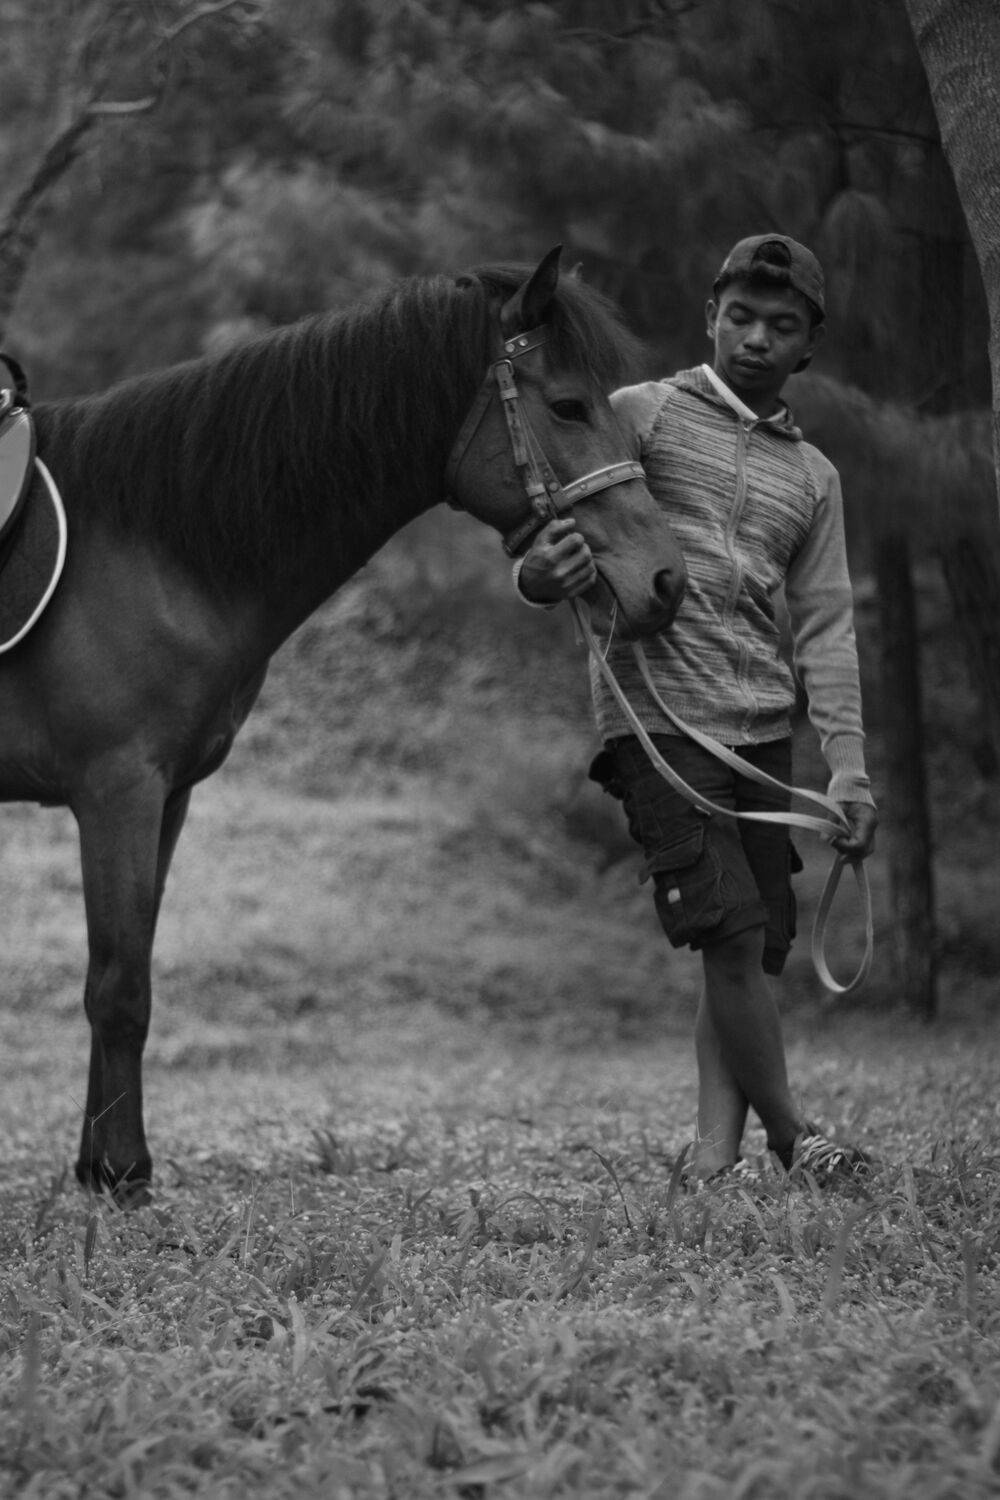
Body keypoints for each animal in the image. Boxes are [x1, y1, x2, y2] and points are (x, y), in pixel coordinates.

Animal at [0, 246, 685, 1203]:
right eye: (568, 406)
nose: (667, 580)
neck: (146, 544)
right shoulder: (115, 792)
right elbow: (119, 985)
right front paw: (125, 1174)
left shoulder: (164, 798)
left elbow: (126, 969)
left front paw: (100, 1168)